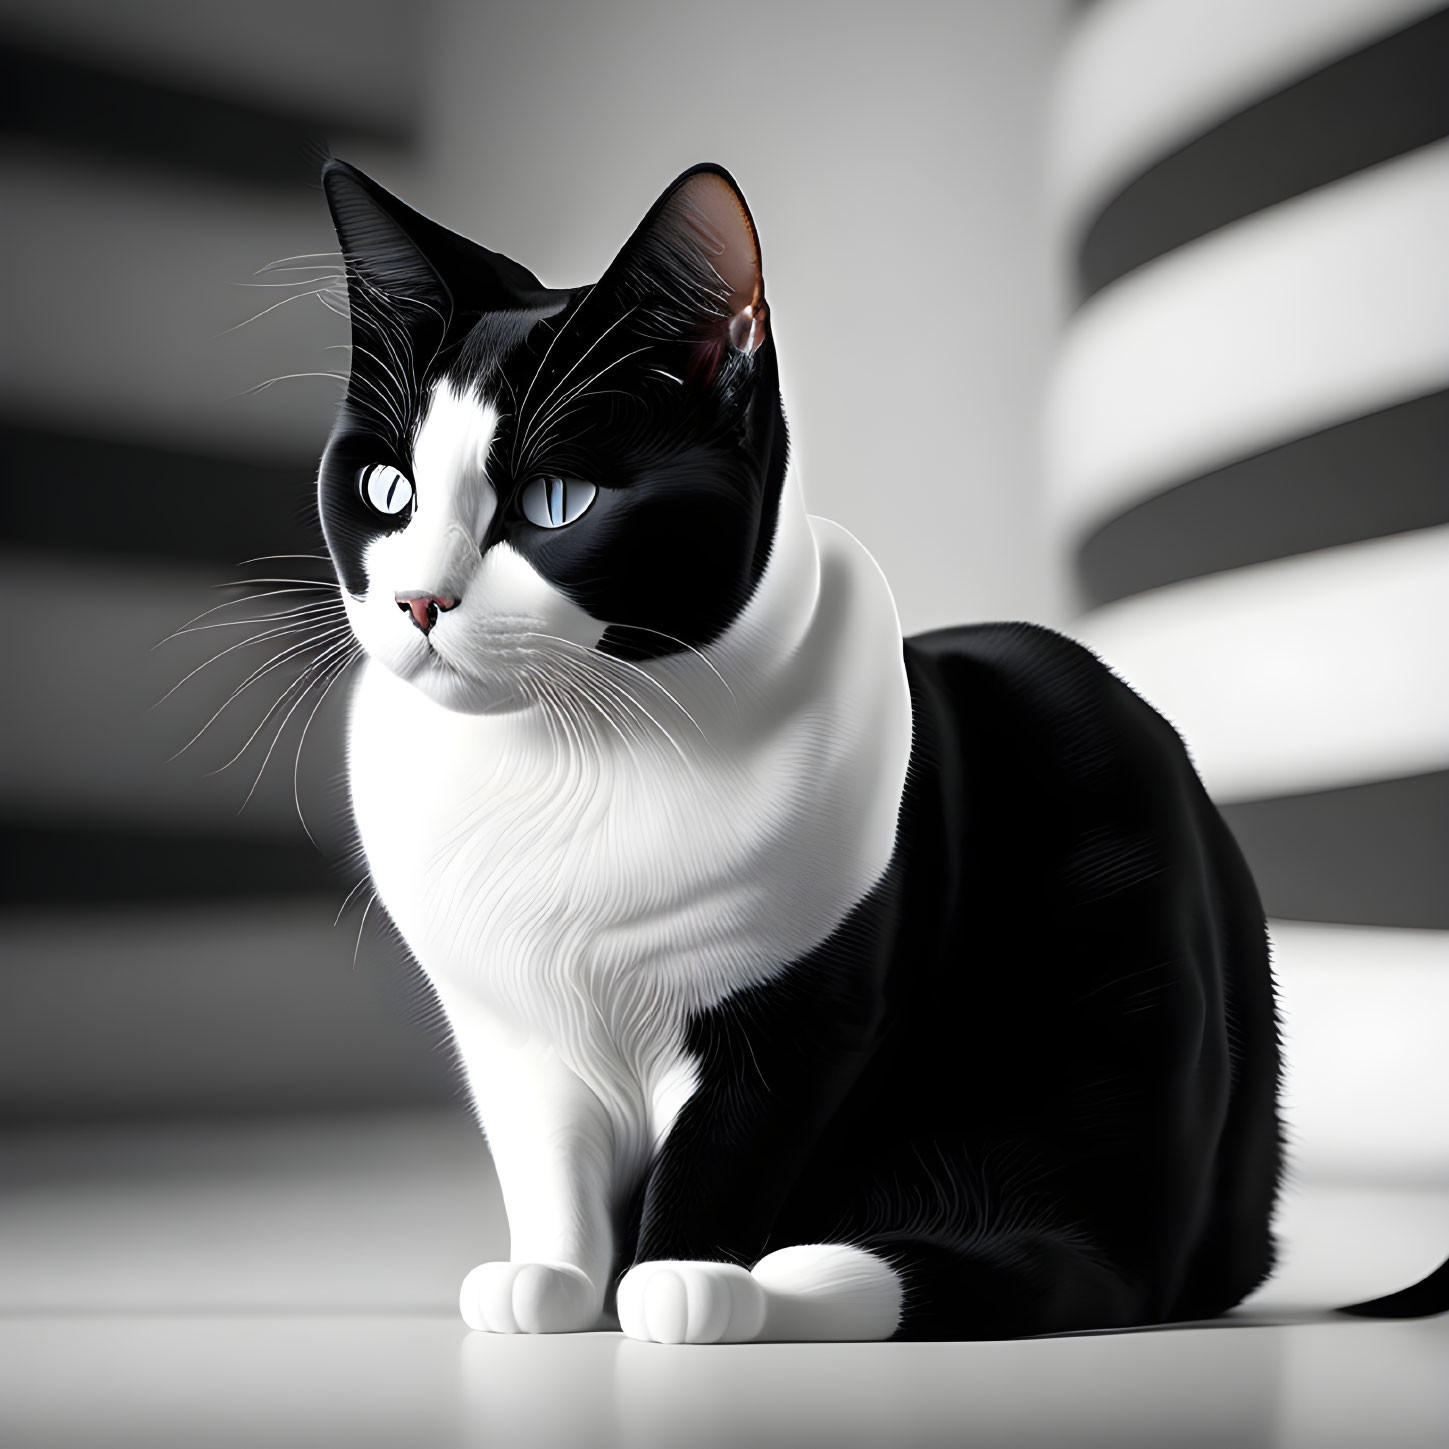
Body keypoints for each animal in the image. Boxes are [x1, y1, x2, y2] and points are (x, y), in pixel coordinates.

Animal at [314, 155, 1280, 1333]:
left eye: (555, 501)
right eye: (387, 490)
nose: (418, 601)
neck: (568, 759)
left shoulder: (809, 1016)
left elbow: (728, 1149)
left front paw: (678, 1278)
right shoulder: (513, 1036)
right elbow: (549, 1165)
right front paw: (554, 1281)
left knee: (1078, 1264)